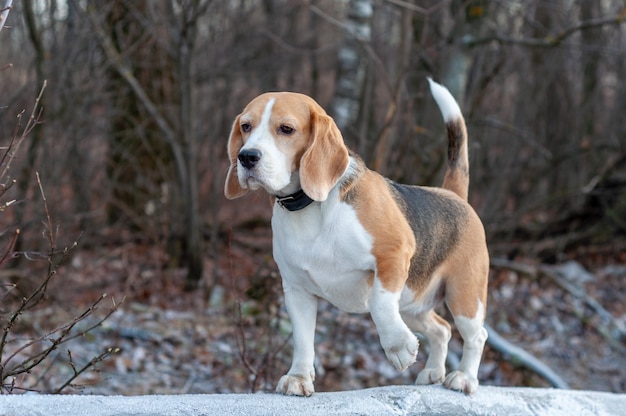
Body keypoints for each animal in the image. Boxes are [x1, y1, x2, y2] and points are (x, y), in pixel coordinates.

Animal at [224, 79, 488, 396]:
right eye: (246, 126)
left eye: (286, 129)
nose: (246, 157)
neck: (311, 205)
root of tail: (452, 194)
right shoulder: (297, 290)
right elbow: (302, 338)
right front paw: (298, 377)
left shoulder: (393, 254)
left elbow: (379, 304)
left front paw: (398, 347)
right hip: (413, 302)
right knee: (442, 330)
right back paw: (434, 371)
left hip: (464, 296)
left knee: (476, 335)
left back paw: (464, 377)